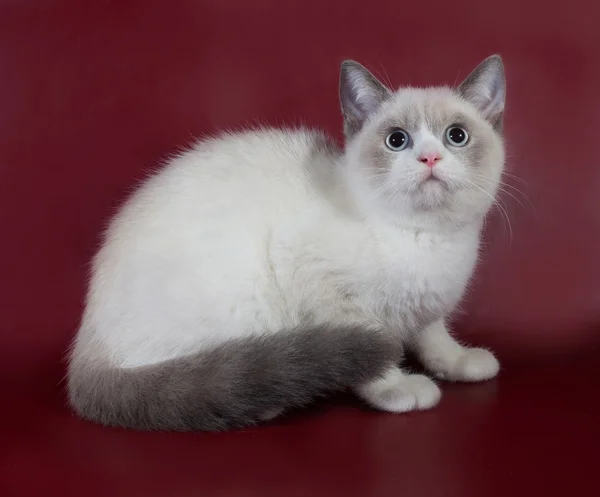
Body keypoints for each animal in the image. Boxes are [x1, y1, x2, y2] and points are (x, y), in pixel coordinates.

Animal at [67, 55, 506, 430]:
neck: (428, 238)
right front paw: (399, 387)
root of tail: (85, 345)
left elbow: (434, 337)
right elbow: (376, 354)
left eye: (456, 136)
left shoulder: (426, 304)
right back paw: (263, 401)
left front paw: (460, 362)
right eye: (397, 140)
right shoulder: (327, 290)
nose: (430, 159)